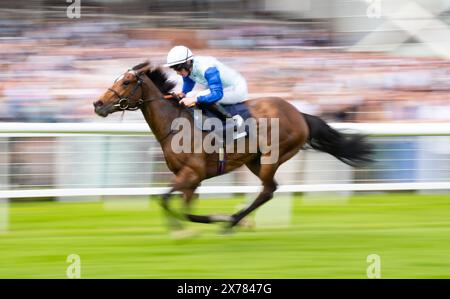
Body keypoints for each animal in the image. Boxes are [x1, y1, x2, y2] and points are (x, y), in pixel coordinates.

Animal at [93, 62, 370, 233]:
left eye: (127, 82)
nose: (98, 104)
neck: (175, 124)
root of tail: (299, 113)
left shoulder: (191, 173)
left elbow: (164, 198)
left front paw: (195, 227)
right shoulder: (191, 179)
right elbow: (185, 210)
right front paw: (193, 227)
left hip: (272, 157)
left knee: (268, 190)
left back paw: (232, 222)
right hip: (254, 160)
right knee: (269, 190)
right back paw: (234, 221)